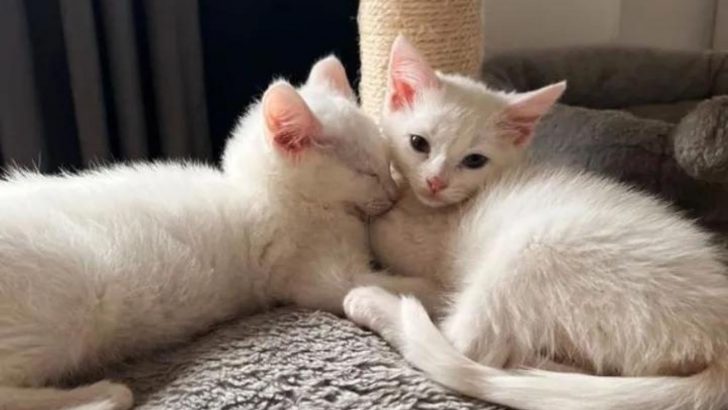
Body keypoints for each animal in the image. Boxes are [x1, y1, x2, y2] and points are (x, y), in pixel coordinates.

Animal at [0, 56, 438, 410]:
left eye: (387, 162)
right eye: (367, 173)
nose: (394, 193)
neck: (270, 195)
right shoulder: (317, 276)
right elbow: (393, 284)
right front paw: (437, 286)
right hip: (66, 307)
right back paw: (102, 396)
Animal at [344, 35, 728, 410]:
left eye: (474, 161)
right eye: (418, 143)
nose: (436, 182)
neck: (431, 207)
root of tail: (719, 339)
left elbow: (381, 233)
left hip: (534, 247)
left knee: (471, 347)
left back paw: (372, 301)